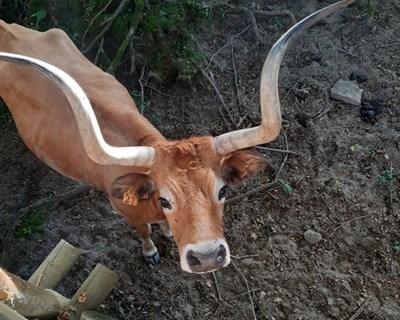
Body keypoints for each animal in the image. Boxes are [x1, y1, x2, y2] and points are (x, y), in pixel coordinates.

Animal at [0, 0, 356, 276]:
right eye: (165, 199)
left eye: (223, 191)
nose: (208, 257)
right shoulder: (128, 213)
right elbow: (143, 232)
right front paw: (151, 251)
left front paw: (169, 235)